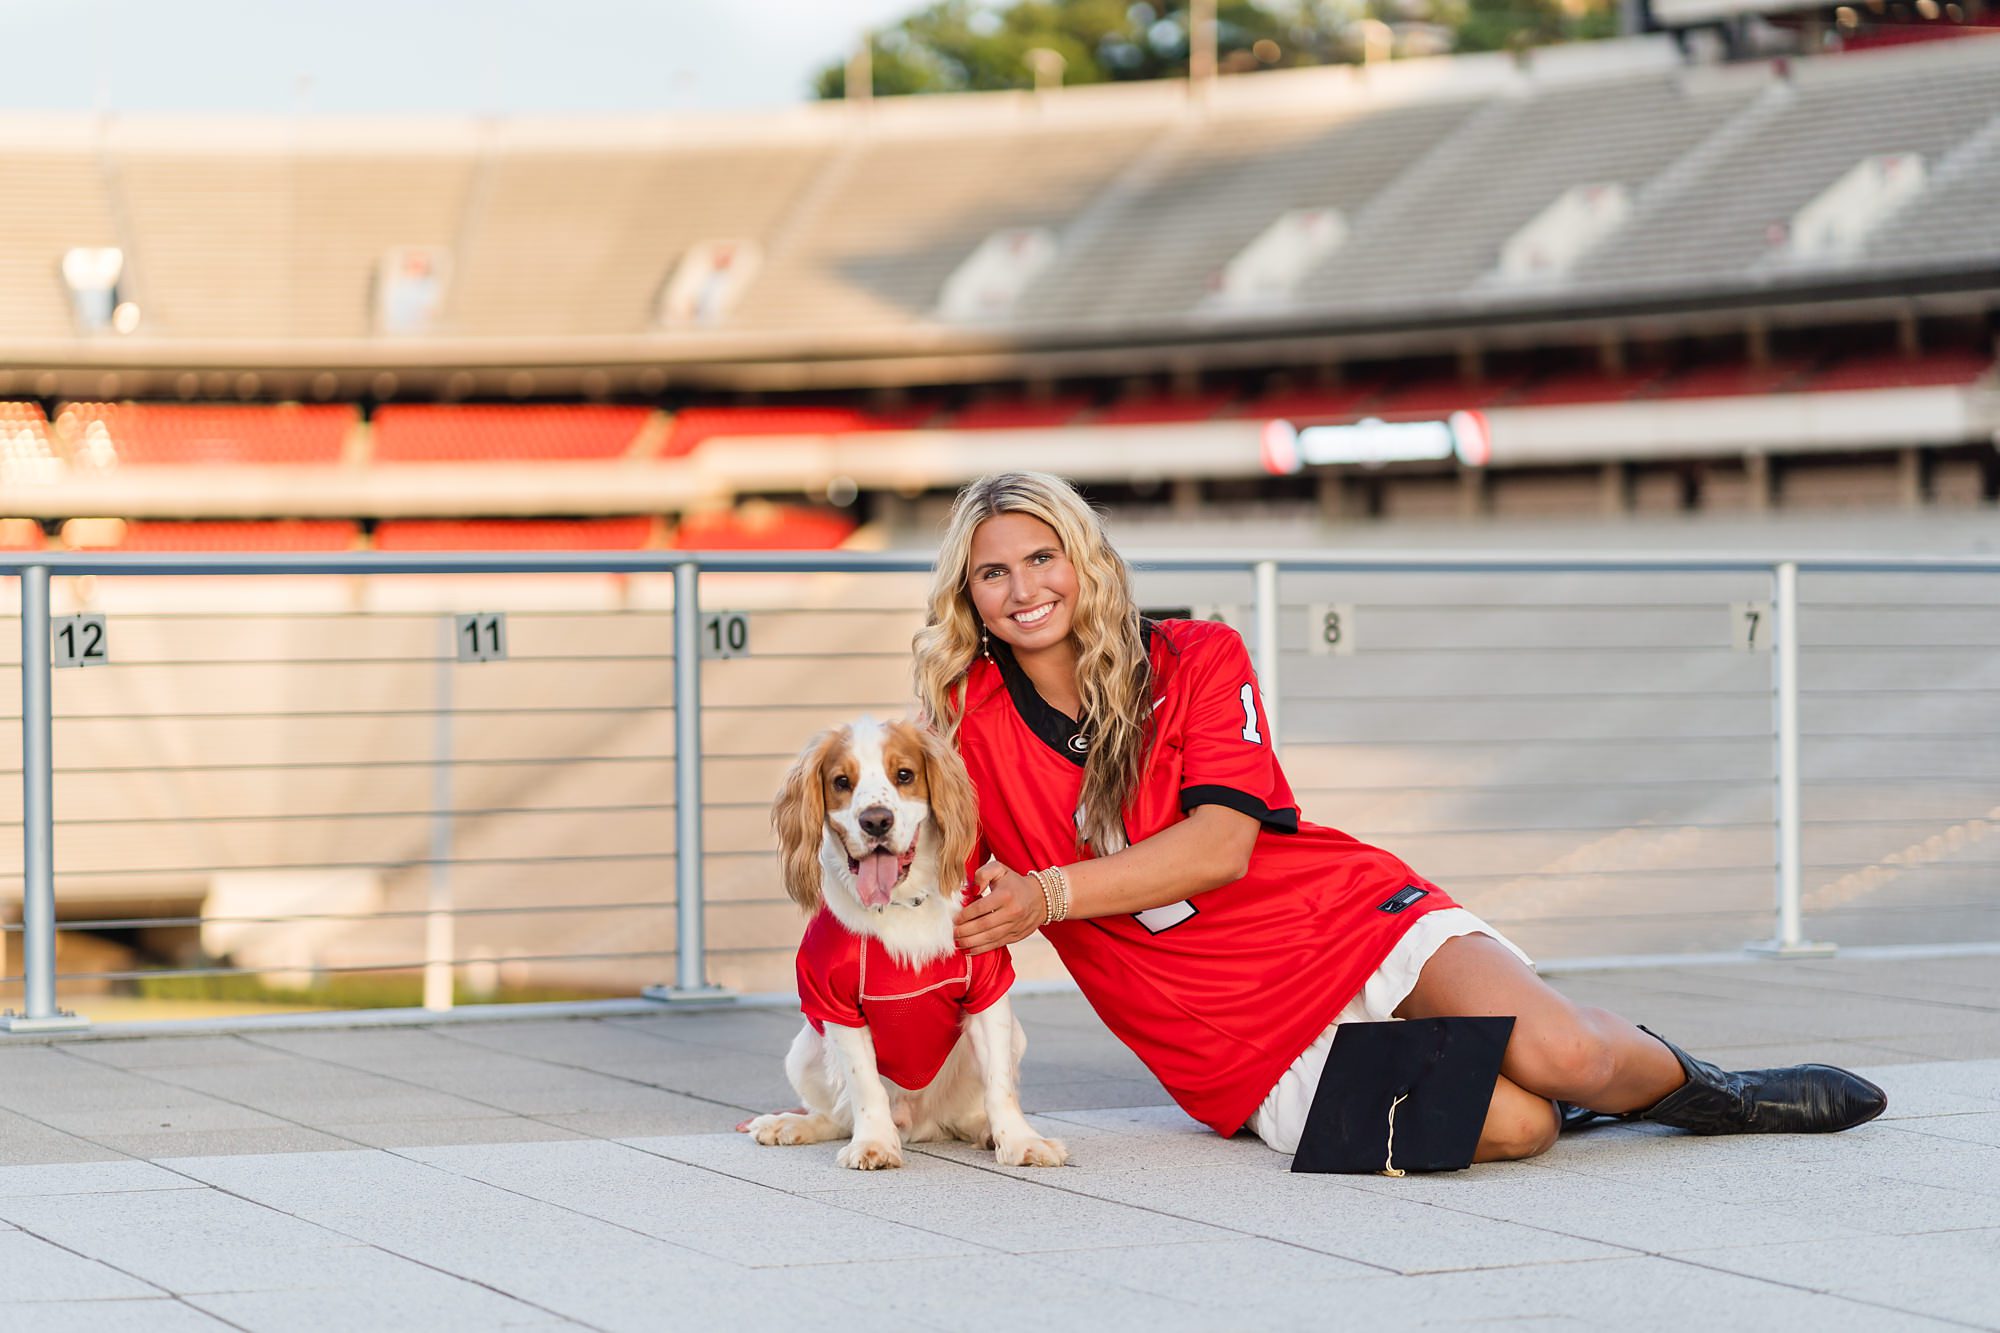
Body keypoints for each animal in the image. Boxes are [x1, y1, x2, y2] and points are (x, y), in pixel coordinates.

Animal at [748, 716, 1064, 1160]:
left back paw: (986, 1132)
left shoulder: (988, 994)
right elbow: (865, 1086)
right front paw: (874, 1143)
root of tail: (921, 1125)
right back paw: (789, 1125)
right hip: (804, 1051)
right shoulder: (836, 1004)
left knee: (966, 1116)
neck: (900, 904)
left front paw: (1021, 1141)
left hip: (1011, 1041)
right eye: (841, 781)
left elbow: (1000, 1086)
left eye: (904, 775)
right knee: (837, 1116)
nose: (876, 820)